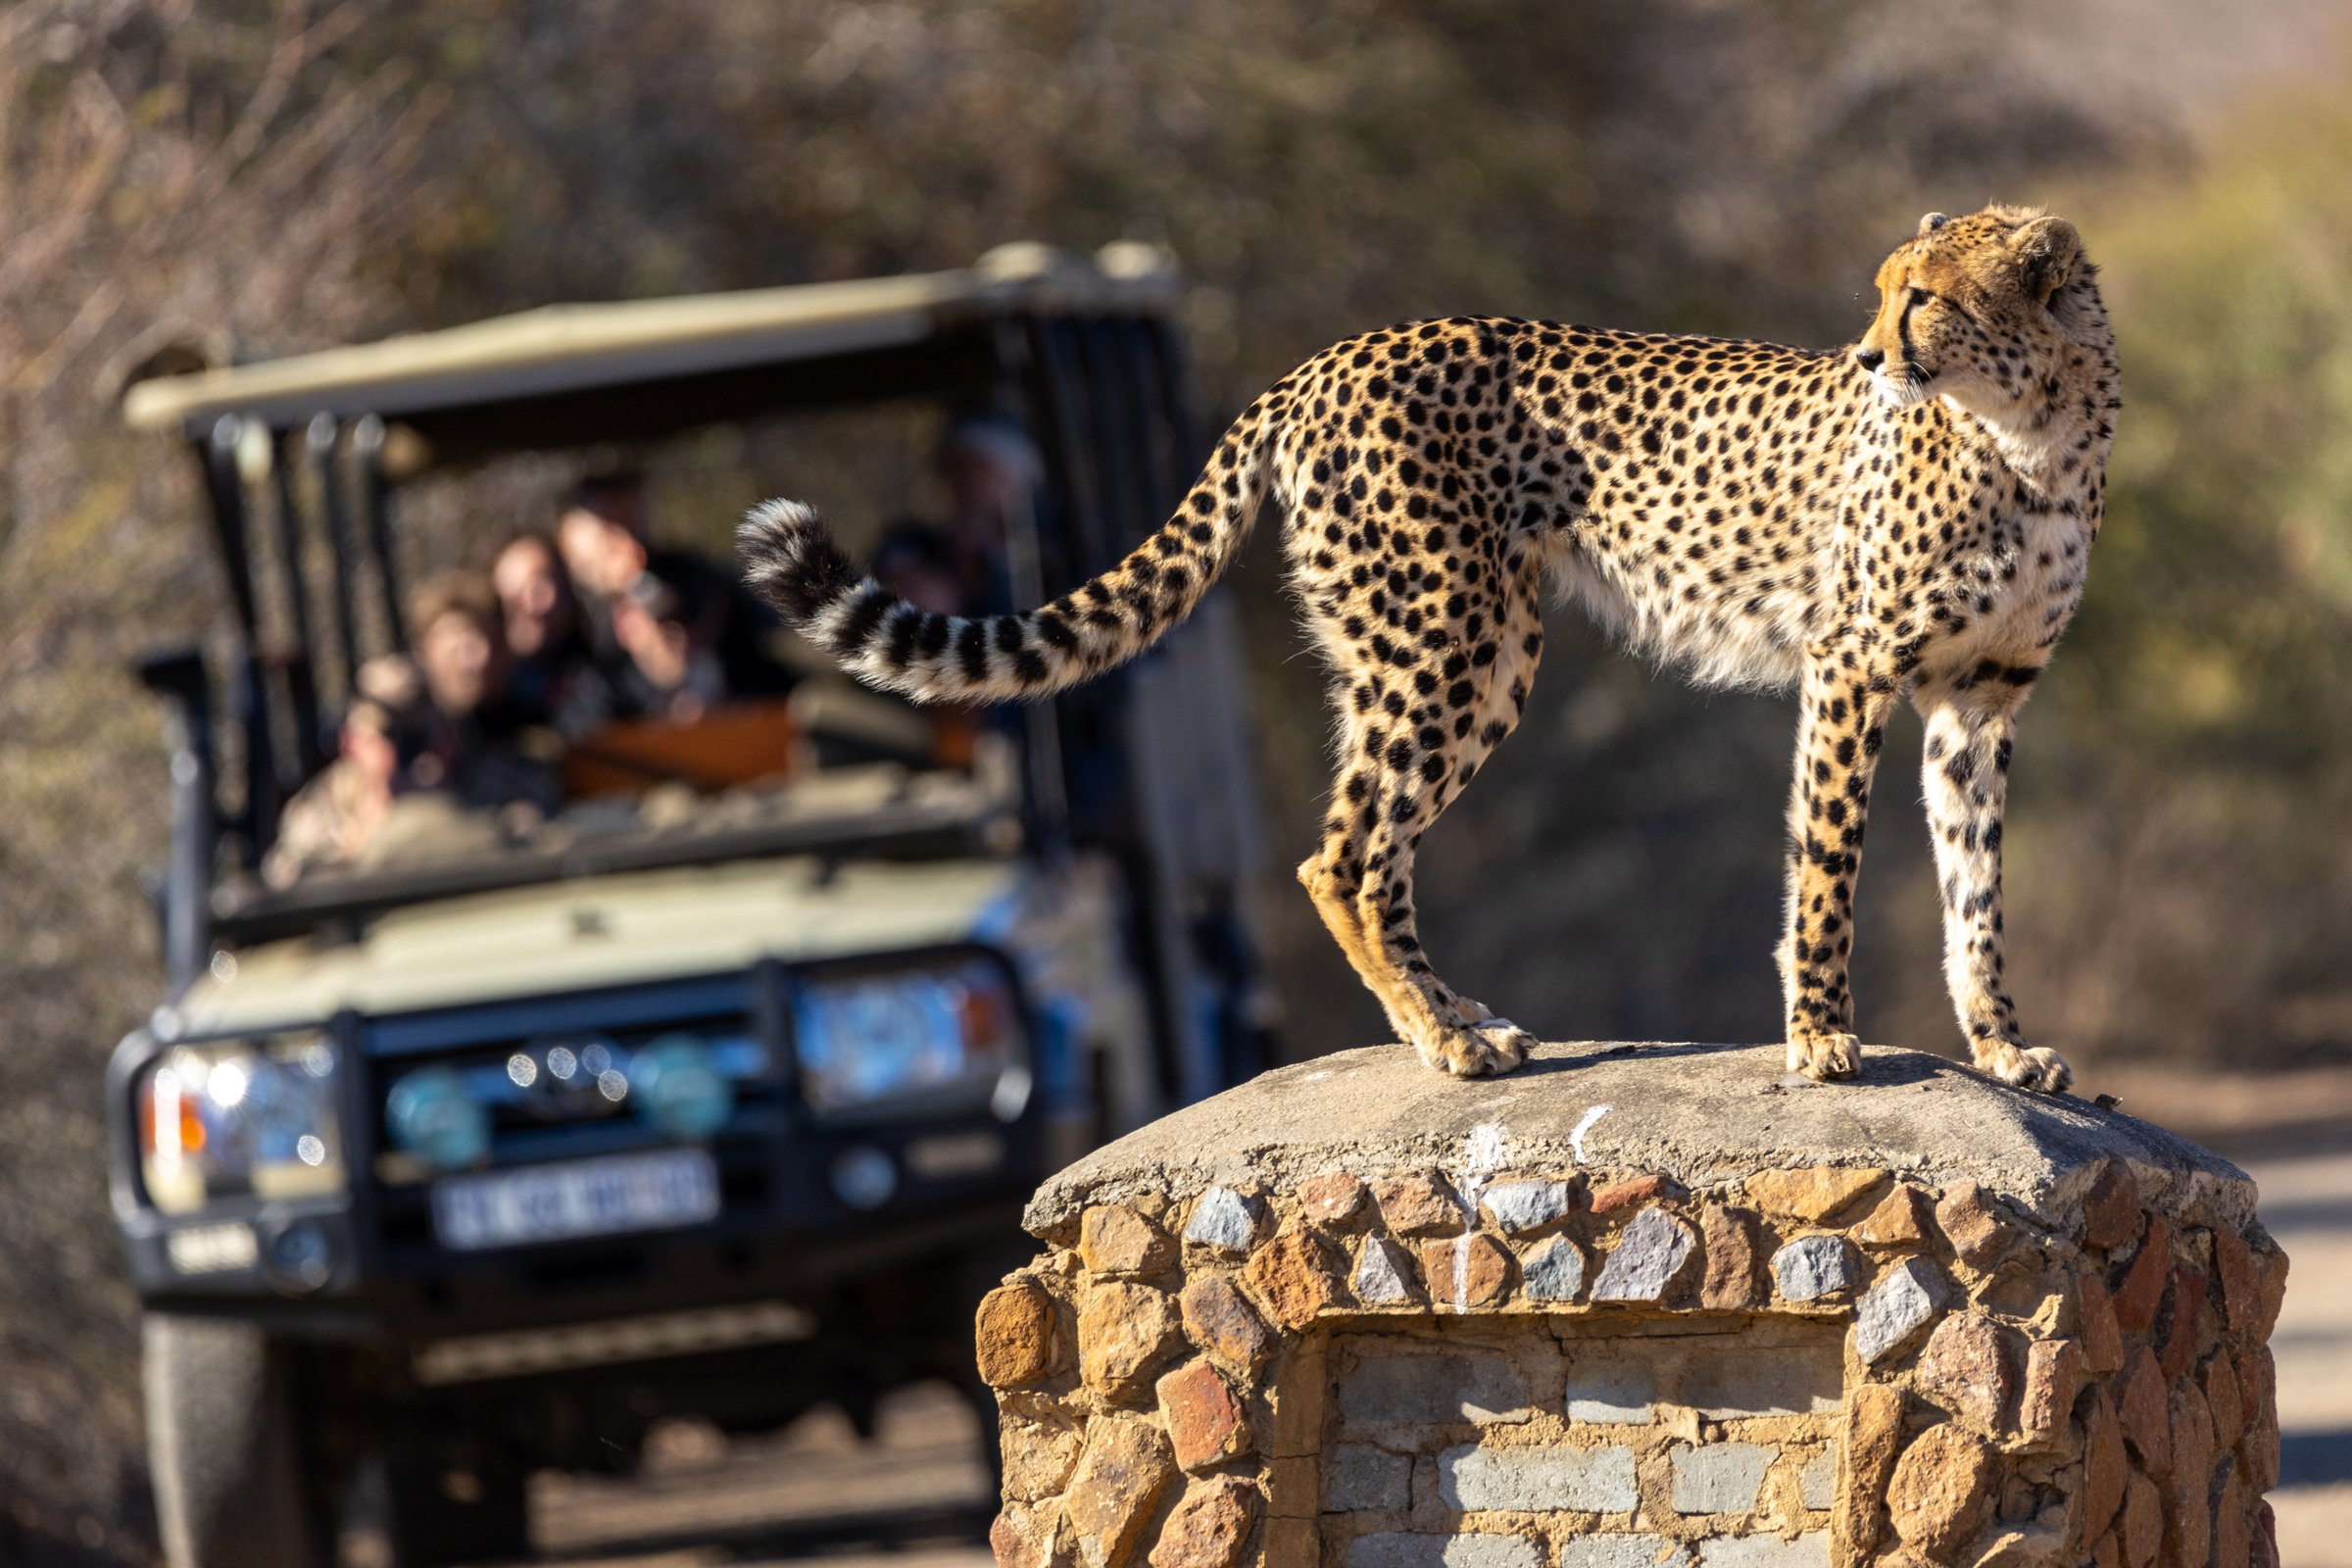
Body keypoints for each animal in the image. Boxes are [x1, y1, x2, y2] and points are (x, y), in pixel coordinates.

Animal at [739, 204, 2118, 1092]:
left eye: (1924, 295)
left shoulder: (1978, 703)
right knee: (1341, 854)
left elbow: (1975, 889)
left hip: (1452, 649)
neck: (2028, 437)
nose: (1873, 355)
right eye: (1885, 290)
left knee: (1375, 849)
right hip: (1448, 634)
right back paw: (1444, 1042)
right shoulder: (1852, 668)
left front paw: (2005, 1046)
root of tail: (1330, 357)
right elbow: (1827, 867)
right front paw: (1823, 1039)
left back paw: (1455, 1022)